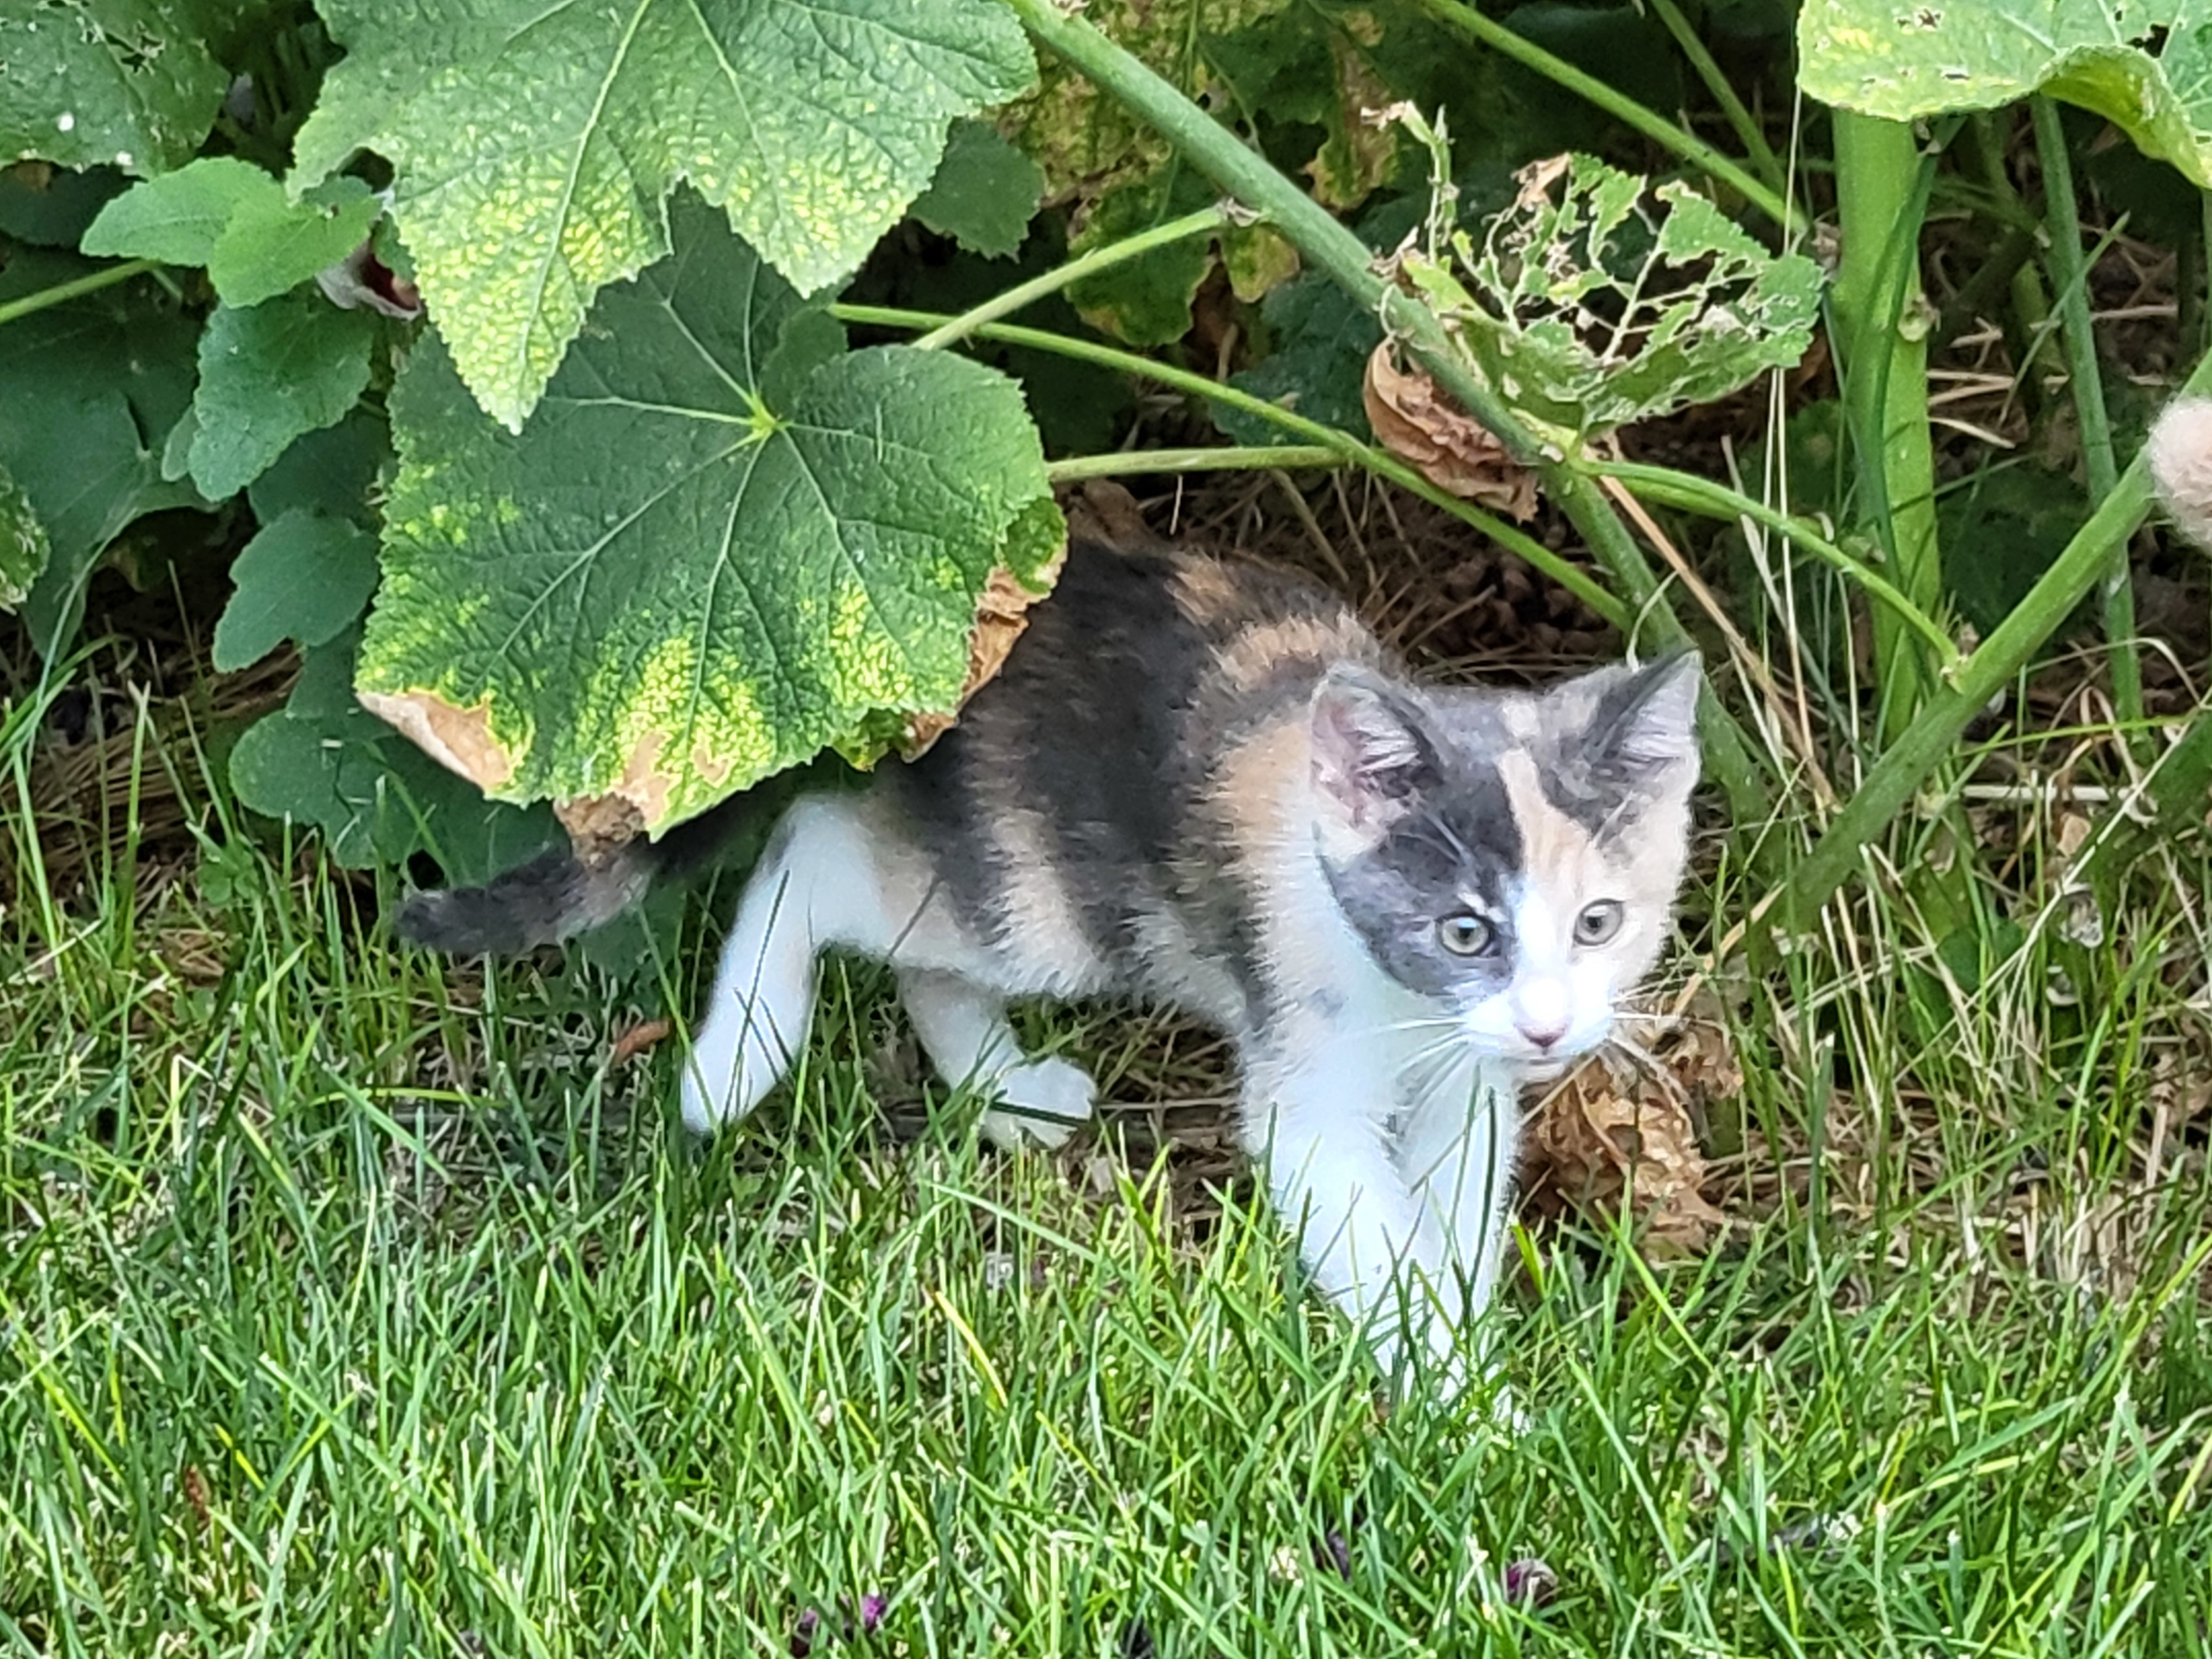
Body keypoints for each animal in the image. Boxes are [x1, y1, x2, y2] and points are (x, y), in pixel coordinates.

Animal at [403, 540, 1708, 1398]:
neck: (1411, 1018)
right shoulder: (1307, 1083)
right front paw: (1462, 1405)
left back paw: (1010, 1090)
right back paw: (737, 1061)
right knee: (816, 852)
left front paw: (1464, 1344)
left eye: (1599, 924)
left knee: (915, 950)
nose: (1547, 1029)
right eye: (1463, 932)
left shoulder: (1464, 1093)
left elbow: (1452, 1218)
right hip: (1047, 894)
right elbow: (1368, 1230)